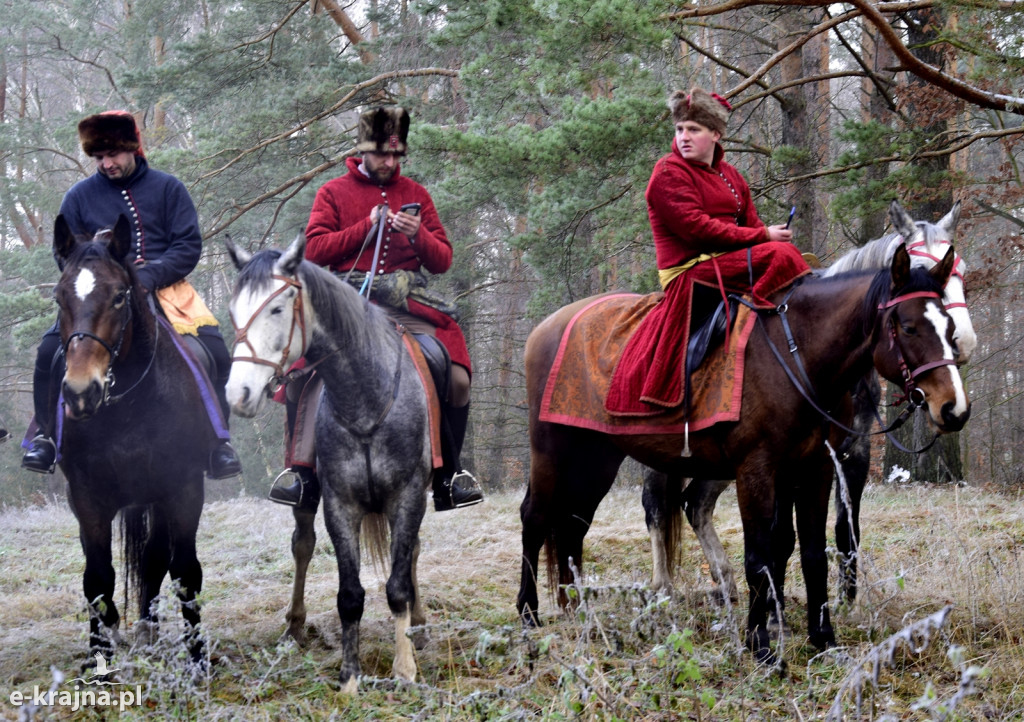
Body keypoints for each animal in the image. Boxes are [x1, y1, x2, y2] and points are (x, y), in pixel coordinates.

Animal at [52, 213, 212, 659]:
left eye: (120, 296)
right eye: (59, 298)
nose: (80, 392)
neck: (127, 408)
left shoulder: (183, 488)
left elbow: (185, 571)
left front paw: (197, 657)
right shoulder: (87, 498)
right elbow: (97, 577)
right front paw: (99, 655)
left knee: (156, 559)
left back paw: (147, 627)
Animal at [520, 244, 966, 663]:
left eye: (948, 326)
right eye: (908, 326)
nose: (953, 409)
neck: (795, 355)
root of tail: (547, 327)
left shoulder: (816, 468)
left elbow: (811, 552)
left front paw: (822, 639)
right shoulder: (757, 471)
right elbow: (760, 555)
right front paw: (761, 644)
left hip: (596, 459)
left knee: (575, 525)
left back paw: (576, 607)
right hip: (552, 450)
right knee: (537, 517)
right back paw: (529, 613)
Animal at [647, 199, 974, 606]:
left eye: (959, 270)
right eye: (918, 270)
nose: (963, 342)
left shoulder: (852, 452)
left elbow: (846, 529)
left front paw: (847, 599)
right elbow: (782, 536)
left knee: (695, 503)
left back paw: (724, 581)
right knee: (656, 504)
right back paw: (663, 586)